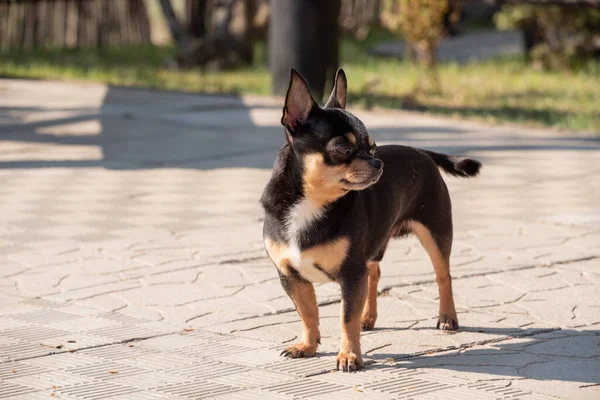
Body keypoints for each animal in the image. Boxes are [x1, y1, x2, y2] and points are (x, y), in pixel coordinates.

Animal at [260, 69, 480, 372]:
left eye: (373, 149)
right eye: (342, 149)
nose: (378, 163)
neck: (312, 202)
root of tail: (422, 152)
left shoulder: (351, 275)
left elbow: (345, 318)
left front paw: (349, 356)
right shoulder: (291, 276)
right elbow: (308, 312)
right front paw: (307, 345)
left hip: (436, 233)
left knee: (442, 275)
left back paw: (447, 317)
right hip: (375, 246)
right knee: (374, 273)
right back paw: (369, 317)